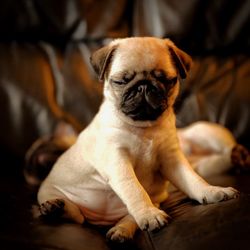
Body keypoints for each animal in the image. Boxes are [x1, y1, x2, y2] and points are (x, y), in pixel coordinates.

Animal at [37, 38, 238, 243]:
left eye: (166, 79)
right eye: (120, 81)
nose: (143, 86)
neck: (144, 128)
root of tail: (100, 220)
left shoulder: (172, 159)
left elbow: (192, 179)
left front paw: (211, 192)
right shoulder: (118, 161)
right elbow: (135, 190)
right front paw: (149, 215)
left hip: (153, 200)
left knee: (125, 217)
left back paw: (121, 230)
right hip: (48, 192)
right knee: (77, 216)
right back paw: (56, 208)